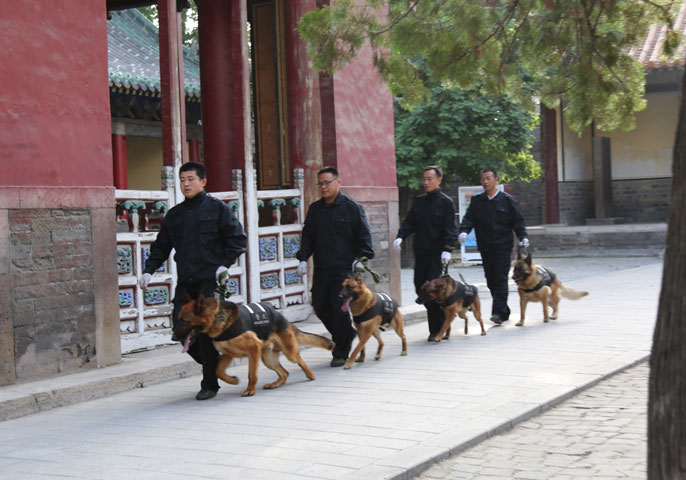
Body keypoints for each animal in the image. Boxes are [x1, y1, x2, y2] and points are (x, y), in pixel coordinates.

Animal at [177, 296, 336, 398]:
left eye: (184, 320)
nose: (174, 337)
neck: (217, 319)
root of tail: (283, 318)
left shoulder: (253, 350)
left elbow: (251, 374)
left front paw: (250, 390)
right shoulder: (228, 354)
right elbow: (218, 371)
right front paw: (233, 380)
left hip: (288, 353)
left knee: (299, 360)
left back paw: (310, 375)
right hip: (267, 358)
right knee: (284, 373)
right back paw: (275, 384)